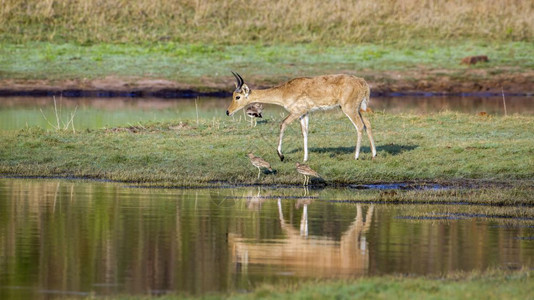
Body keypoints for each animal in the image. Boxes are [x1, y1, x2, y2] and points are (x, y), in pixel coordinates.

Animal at [226, 72, 376, 162]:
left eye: (237, 97)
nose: (228, 112)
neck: (284, 91)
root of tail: (362, 82)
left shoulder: (297, 112)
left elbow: (283, 124)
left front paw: (281, 155)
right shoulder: (305, 113)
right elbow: (305, 132)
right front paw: (305, 158)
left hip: (349, 109)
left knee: (359, 126)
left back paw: (356, 156)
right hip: (358, 109)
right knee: (367, 124)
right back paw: (374, 154)